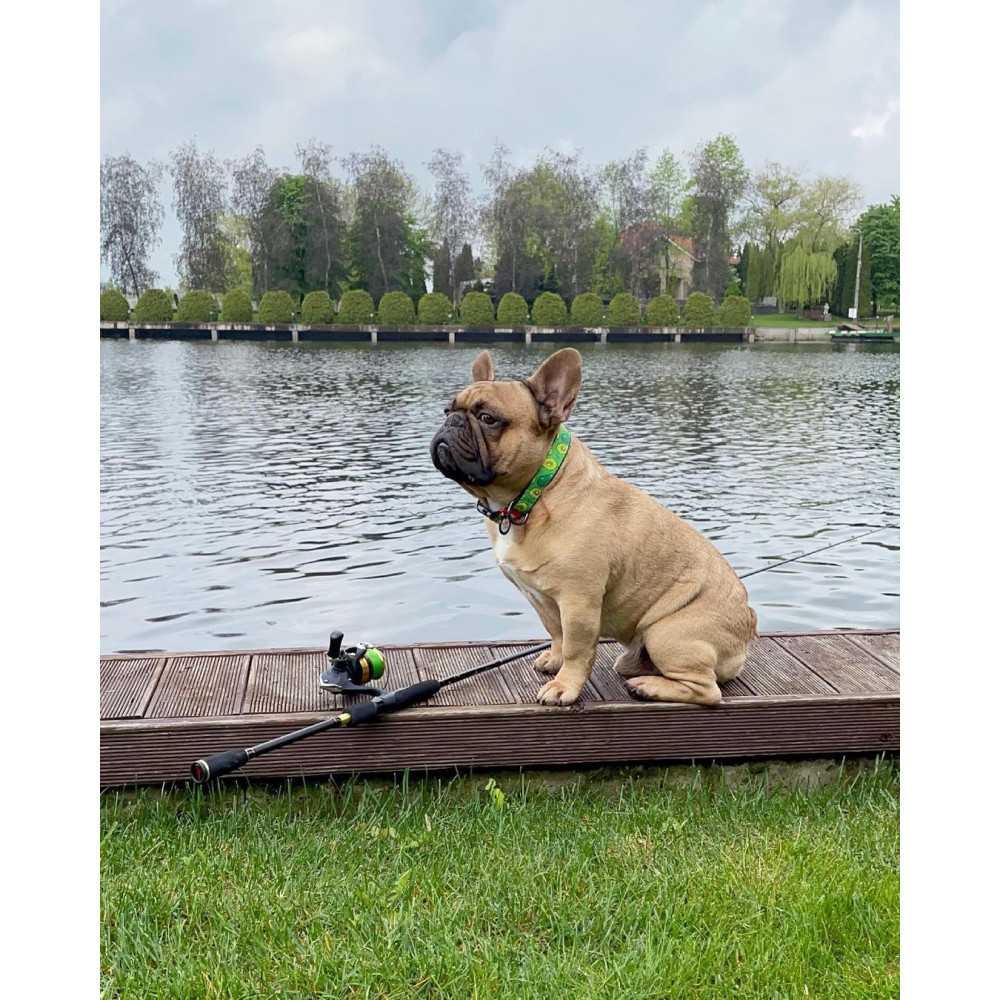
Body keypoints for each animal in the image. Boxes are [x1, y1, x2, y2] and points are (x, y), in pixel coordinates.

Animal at [430, 347, 757, 707]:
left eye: (488, 418)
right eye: (447, 410)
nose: (451, 422)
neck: (533, 496)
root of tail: (748, 623)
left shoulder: (579, 601)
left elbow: (576, 649)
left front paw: (565, 686)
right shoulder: (543, 601)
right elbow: (556, 634)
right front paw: (554, 660)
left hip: (667, 633)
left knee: (707, 690)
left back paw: (648, 686)